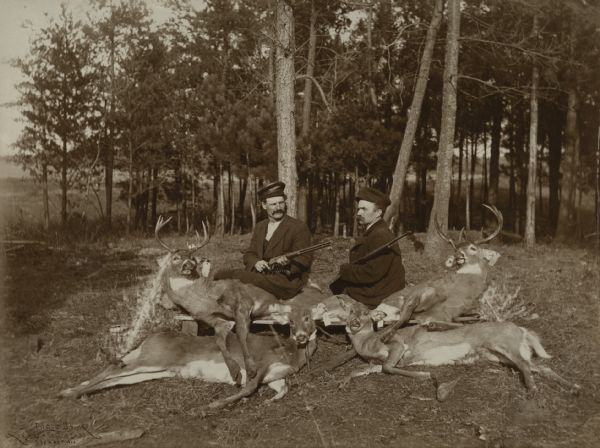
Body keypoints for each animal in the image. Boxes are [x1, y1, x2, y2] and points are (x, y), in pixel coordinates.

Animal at [152, 215, 326, 384]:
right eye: (176, 258)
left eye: (192, 258)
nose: (188, 264)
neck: (206, 298)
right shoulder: (215, 320)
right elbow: (219, 340)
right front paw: (234, 371)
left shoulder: (243, 302)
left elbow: (242, 334)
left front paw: (250, 369)